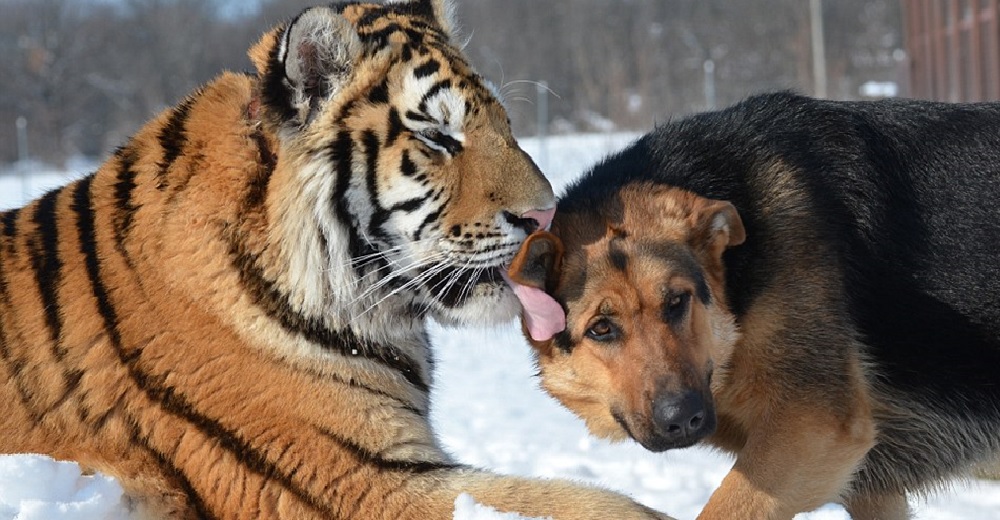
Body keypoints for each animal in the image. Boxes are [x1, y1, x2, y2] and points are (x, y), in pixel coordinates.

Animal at [504, 91, 1000, 516]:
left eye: (677, 301)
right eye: (601, 328)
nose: (682, 419)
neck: (737, 304)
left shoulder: (813, 426)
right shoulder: (869, 485)